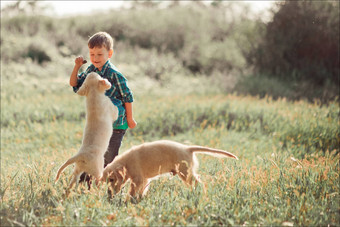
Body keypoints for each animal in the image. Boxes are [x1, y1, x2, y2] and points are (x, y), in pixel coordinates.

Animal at [102, 140, 238, 200]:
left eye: (112, 179)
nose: (110, 195)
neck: (126, 163)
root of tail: (188, 148)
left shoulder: (138, 178)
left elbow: (132, 191)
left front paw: (128, 201)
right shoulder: (144, 179)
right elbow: (142, 190)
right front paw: (139, 199)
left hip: (185, 172)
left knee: (198, 182)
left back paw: (200, 193)